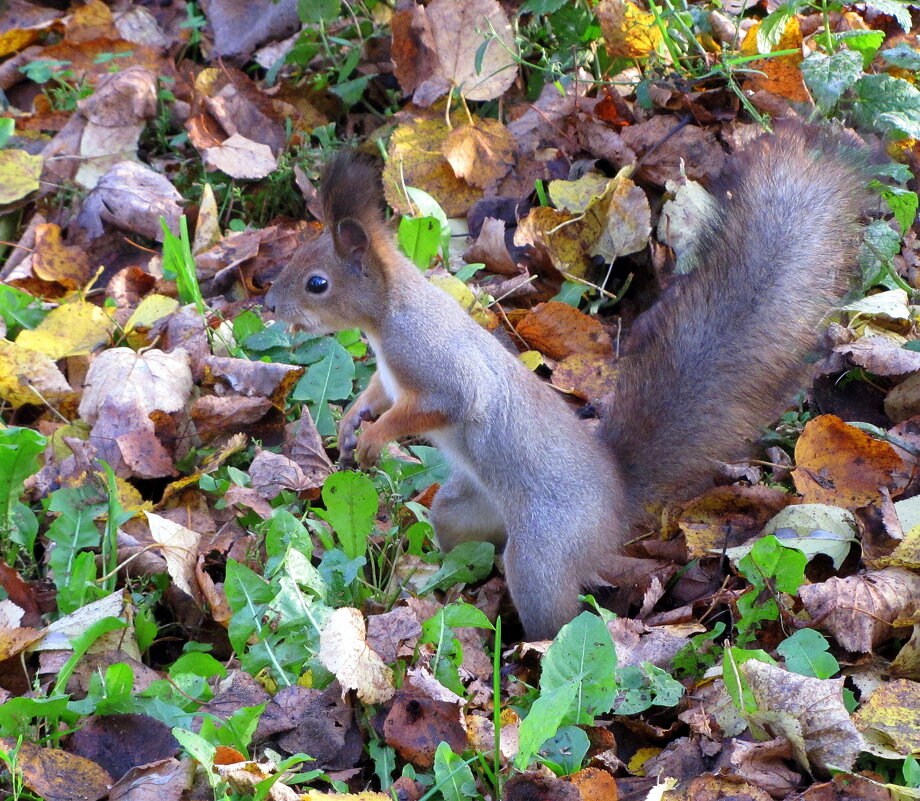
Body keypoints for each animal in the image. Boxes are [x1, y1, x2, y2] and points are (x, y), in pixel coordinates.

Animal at [262, 122, 868, 640]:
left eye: (317, 283)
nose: (268, 304)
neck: (387, 316)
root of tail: (615, 498)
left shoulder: (436, 362)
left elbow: (438, 405)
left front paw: (374, 436)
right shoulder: (390, 378)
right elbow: (377, 395)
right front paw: (351, 423)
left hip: (544, 550)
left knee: (555, 613)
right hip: (466, 508)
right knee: (467, 544)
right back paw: (447, 589)